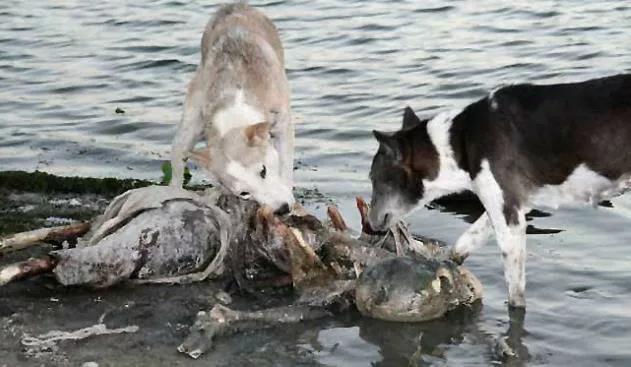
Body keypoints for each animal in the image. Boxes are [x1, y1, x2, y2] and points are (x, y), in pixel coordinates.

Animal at [368, 74, 631, 308]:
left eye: (374, 179)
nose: (370, 224)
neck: (459, 143)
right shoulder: (508, 203)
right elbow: (464, 243)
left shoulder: (510, 218)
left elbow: (515, 296)